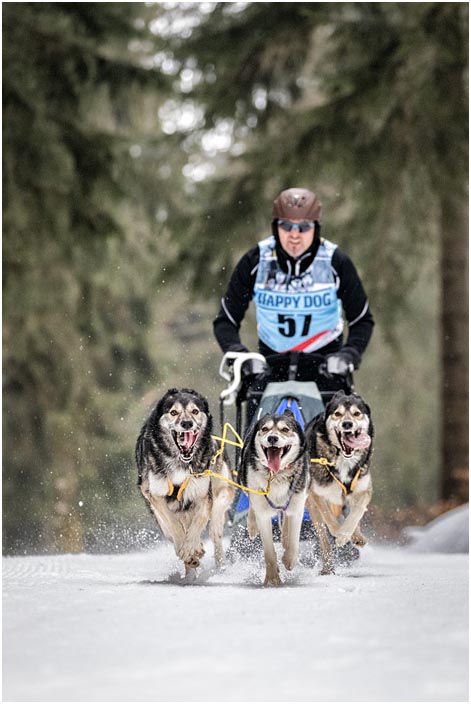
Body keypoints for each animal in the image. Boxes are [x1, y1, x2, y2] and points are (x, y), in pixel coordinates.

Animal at [136, 388, 235, 576]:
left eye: (195, 411)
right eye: (173, 412)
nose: (187, 423)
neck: (180, 463)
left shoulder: (204, 494)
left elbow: (200, 520)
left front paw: (191, 547)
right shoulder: (155, 495)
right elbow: (173, 523)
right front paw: (187, 550)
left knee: (214, 530)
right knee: (171, 530)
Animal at [240, 410, 310, 584]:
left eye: (285, 429)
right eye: (265, 429)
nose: (272, 438)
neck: (276, 475)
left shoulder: (298, 508)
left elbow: (294, 541)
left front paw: (289, 559)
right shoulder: (263, 515)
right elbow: (269, 552)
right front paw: (272, 578)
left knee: (285, 518)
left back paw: (285, 537)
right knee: (252, 505)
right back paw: (252, 526)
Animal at [306, 388, 376, 576]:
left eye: (357, 413)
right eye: (337, 414)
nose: (347, 424)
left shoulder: (363, 490)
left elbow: (355, 514)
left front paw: (350, 534)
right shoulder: (318, 495)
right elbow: (331, 521)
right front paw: (341, 535)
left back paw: (356, 536)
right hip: (313, 507)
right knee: (324, 538)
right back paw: (328, 567)